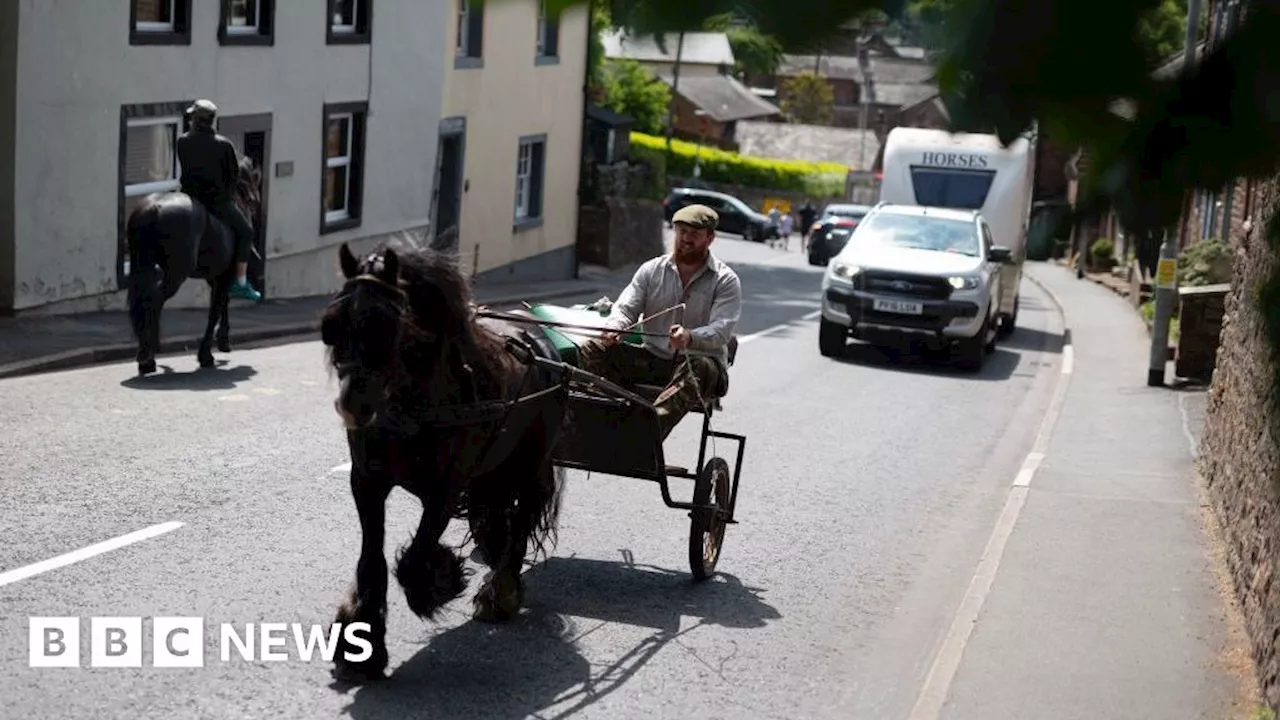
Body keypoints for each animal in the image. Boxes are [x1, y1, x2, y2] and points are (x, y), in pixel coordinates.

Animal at [124, 97, 264, 371]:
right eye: (252, 187)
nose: (255, 205)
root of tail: (152, 208)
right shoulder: (224, 275)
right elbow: (215, 309)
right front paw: (207, 353)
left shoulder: (216, 275)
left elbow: (221, 305)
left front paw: (222, 341)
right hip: (176, 271)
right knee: (154, 300)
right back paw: (149, 353)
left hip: (141, 264)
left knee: (141, 298)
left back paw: (146, 354)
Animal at [325, 239, 570, 676]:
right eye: (333, 324)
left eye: (387, 324)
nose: (353, 404)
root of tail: (542, 341)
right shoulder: (367, 482)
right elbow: (372, 558)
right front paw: (361, 639)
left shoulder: (445, 488)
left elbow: (415, 554)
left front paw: (439, 581)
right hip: (496, 470)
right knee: (500, 514)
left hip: (531, 465)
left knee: (523, 518)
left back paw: (500, 594)